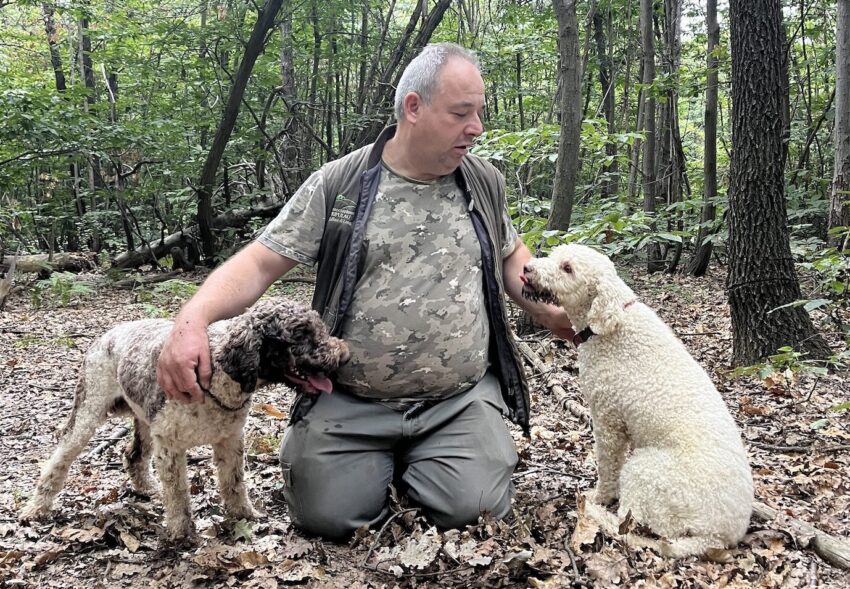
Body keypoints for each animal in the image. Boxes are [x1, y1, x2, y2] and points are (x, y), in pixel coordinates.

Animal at [18, 298, 348, 544]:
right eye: (301, 334)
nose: (343, 355)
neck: (215, 373)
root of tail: (107, 334)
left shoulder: (229, 440)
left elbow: (234, 483)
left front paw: (244, 515)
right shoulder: (170, 445)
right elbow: (178, 493)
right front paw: (181, 532)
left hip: (144, 419)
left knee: (133, 455)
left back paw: (148, 488)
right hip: (89, 409)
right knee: (59, 458)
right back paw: (35, 508)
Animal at [520, 242, 752, 556]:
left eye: (567, 268)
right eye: (555, 255)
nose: (527, 268)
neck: (613, 321)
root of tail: (717, 537)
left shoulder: (607, 421)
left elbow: (607, 468)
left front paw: (599, 497)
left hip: (644, 471)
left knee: (628, 522)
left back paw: (594, 514)